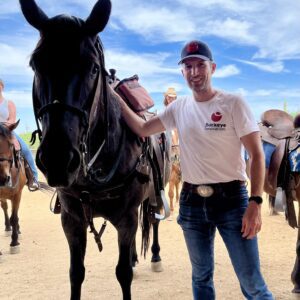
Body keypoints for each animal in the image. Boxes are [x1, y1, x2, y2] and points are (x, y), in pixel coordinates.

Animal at [19, 1, 171, 298]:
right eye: (35, 65)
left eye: (92, 69)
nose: (57, 159)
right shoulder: (71, 221)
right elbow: (76, 273)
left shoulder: (126, 218)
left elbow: (123, 274)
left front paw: (134, 264)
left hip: (154, 194)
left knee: (153, 220)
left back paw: (156, 256)